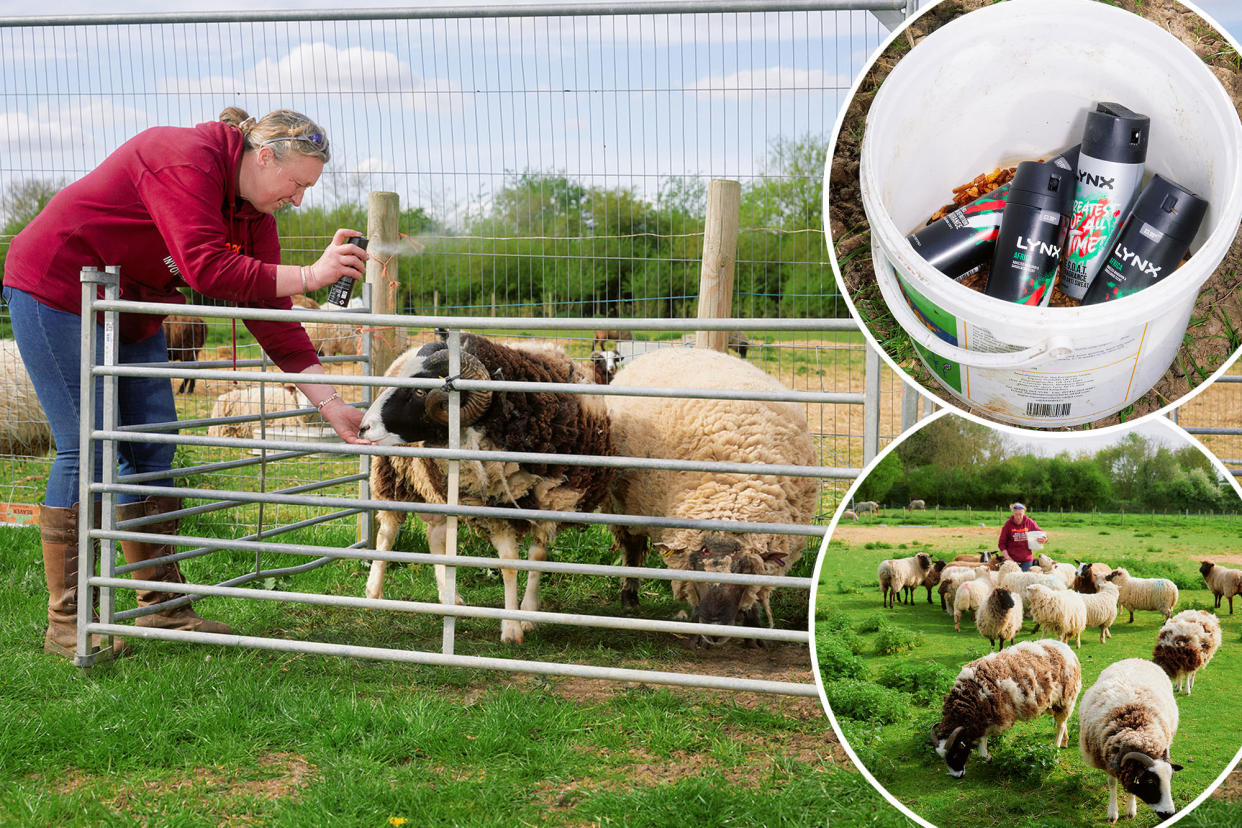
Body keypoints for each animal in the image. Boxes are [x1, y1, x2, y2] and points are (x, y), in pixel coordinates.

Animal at [357, 332, 613, 645]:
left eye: (419, 392)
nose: (363, 427)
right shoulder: (494, 512)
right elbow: (510, 564)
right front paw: (511, 628)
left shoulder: (550, 503)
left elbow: (537, 558)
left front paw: (529, 613)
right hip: (392, 474)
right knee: (387, 532)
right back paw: (374, 591)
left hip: (439, 488)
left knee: (435, 538)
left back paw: (450, 597)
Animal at [601, 347, 814, 645]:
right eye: (697, 569)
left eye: (742, 573)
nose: (714, 630)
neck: (729, 491)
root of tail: (670, 348)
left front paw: (754, 629)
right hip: (623, 505)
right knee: (631, 549)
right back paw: (629, 598)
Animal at [933, 640, 1078, 779]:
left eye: (956, 753)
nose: (957, 776)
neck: (971, 695)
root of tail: (1066, 648)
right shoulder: (982, 717)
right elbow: (981, 738)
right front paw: (985, 755)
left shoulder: (992, 715)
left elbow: (983, 738)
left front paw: (985, 756)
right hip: (1052, 704)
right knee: (1062, 722)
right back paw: (1065, 741)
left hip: (1066, 699)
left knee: (1060, 725)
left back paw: (1056, 749)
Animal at [1078, 660, 1182, 824]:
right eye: (1150, 782)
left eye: (1171, 779)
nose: (1169, 814)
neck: (1137, 733)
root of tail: (1137, 659)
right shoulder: (1108, 761)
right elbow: (1112, 783)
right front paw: (1112, 812)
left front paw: (1131, 809)